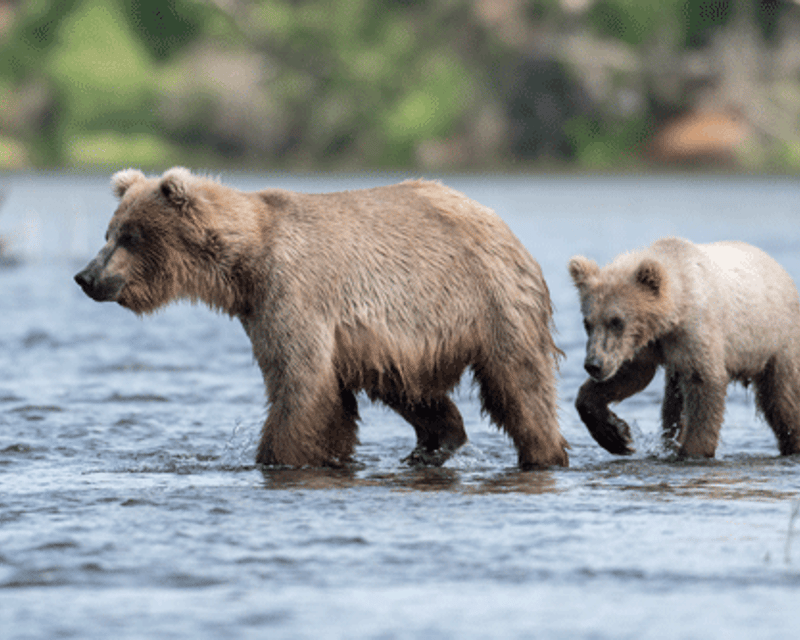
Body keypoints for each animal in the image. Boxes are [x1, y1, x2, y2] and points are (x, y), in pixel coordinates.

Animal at [75, 167, 568, 469]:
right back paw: (433, 445)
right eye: (108, 232)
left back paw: (545, 452)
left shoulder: (294, 291)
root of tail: (499, 222)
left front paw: (275, 455)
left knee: (520, 382)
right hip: (399, 339)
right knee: (409, 389)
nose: (86, 276)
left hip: (488, 299)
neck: (243, 266)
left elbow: (301, 382)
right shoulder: (261, 310)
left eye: (131, 236)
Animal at [568, 236, 800, 459]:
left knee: (783, 399)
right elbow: (630, 375)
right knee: (673, 403)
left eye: (616, 321)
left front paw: (693, 450)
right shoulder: (645, 345)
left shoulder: (695, 333)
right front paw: (616, 436)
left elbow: (704, 385)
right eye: (587, 323)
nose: (594, 364)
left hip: (776, 342)